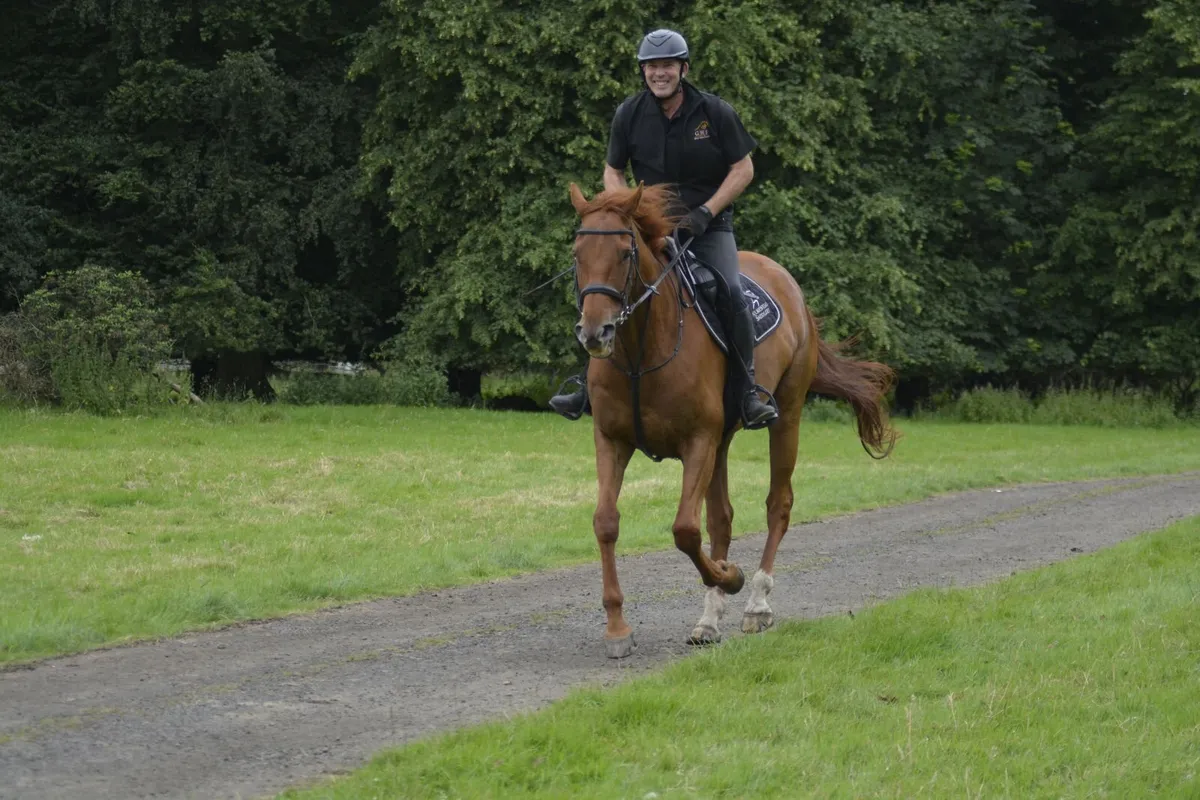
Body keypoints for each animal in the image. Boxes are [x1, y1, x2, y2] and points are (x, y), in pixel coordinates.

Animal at [568, 181, 897, 658]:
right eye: (577, 253)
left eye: (625, 254)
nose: (596, 332)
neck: (641, 353)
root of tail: (789, 284)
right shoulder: (612, 440)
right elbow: (607, 523)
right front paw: (617, 627)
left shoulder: (698, 441)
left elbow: (685, 530)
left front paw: (732, 576)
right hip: (722, 442)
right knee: (721, 517)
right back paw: (709, 620)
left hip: (786, 419)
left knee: (778, 505)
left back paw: (756, 602)